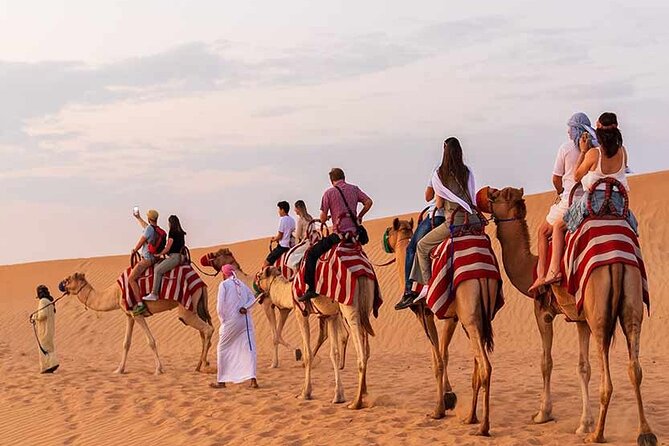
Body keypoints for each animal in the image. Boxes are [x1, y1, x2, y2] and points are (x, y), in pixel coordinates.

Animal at [60, 270, 213, 374]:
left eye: (68, 279)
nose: (60, 285)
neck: (115, 293)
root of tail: (201, 283)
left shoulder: (137, 313)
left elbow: (151, 341)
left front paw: (158, 369)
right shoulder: (129, 315)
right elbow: (126, 343)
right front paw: (119, 370)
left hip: (186, 309)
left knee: (207, 329)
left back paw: (203, 366)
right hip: (199, 306)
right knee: (204, 332)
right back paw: (201, 365)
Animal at [205, 246, 370, 410]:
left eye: (217, 255)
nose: (207, 258)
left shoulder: (277, 306)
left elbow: (277, 337)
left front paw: (291, 371)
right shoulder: (290, 309)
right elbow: (281, 334)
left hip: (348, 307)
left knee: (355, 346)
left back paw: (356, 400)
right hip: (357, 310)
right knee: (357, 341)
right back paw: (361, 390)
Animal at [384, 217, 498, 436]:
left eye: (388, 232)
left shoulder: (424, 312)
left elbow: (436, 358)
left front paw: (439, 409)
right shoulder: (451, 316)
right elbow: (444, 353)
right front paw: (448, 396)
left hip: (469, 316)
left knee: (485, 366)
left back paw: (484, 427)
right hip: (477, 316)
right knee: (477, 365)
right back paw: (471, 417)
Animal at [482, 186, 656, 444]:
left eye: (497, 195)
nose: (485, 195)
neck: (530, 266)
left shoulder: (542, 311)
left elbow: (546, 362)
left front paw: (543, 414)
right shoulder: (580, 319)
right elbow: (583, 367)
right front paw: (584, 423)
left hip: (599, 315)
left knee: (607, 377)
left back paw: (597, 435)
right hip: (631, 301)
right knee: (635, 368)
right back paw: (645, 433)